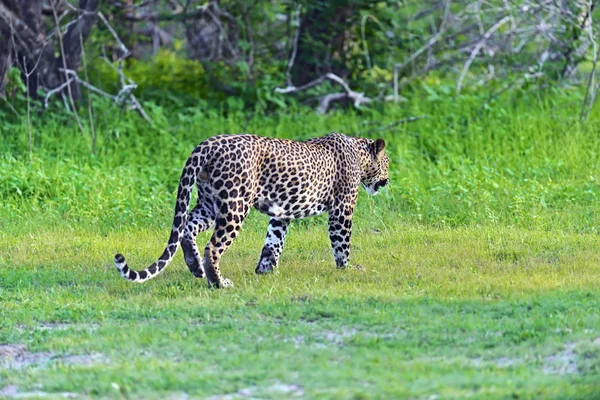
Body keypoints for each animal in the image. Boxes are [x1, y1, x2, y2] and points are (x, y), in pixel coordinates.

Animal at [115, 133, 392, 290]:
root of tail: (206, 143)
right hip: (235, 205)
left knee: (186, 227)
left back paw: (195, 266)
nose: (388, 180)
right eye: (388, 163)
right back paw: (218, 283)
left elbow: (273, 241)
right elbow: (342, 243)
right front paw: (347, 269)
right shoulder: (342, 208)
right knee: (212, 246)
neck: (359, 154)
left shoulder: (281, 213)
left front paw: (265, 270)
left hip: (209, 203)